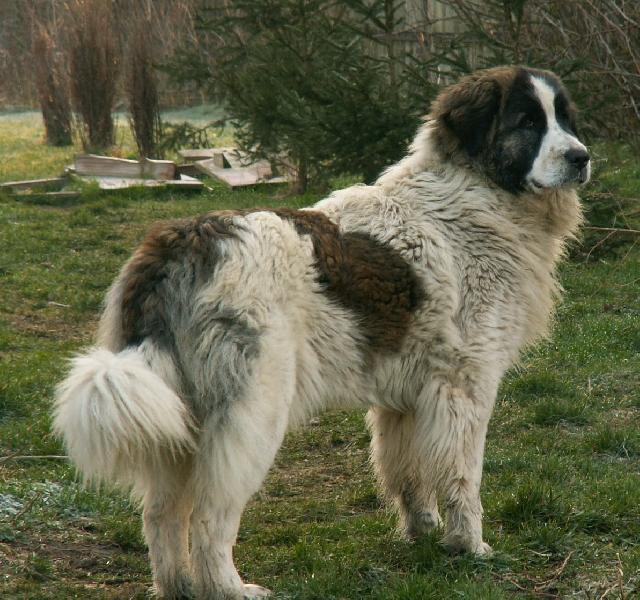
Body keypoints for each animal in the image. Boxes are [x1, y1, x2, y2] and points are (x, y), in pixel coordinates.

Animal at [53, 67, 592, 600]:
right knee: (209, 516)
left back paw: (179, 587)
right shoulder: (465, 387)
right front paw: (471, 547)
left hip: (177, 419)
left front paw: (423, 533)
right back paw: (230, 587)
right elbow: (463, 479)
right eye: (527, 122)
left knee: (162, 513)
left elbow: (408, 473)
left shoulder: (405, 399)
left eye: (564, 118)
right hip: (251, 415)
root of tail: (183, 243)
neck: (475, 194)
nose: (581, 157)